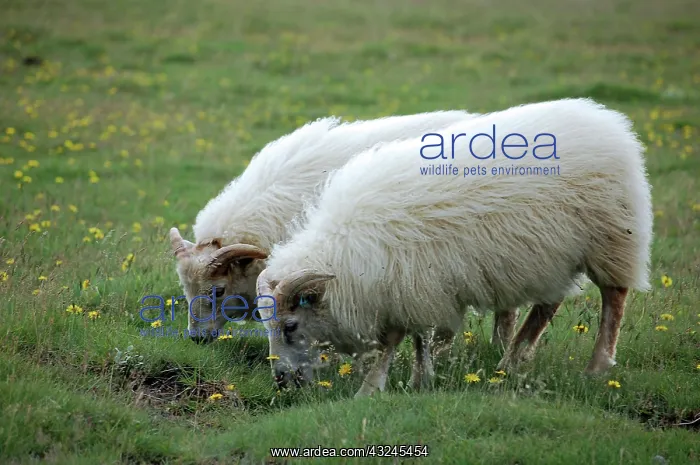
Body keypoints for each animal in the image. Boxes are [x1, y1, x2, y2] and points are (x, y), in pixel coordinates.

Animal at [255, 98, 653, 398]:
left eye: (290, 325)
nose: (281, 381)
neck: (344, 250)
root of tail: (608, 122)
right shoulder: (416, 286)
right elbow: (419, 337)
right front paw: (420, 378)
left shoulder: (407, 285)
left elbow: (397, 339)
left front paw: (373, 388)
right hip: (552, 255)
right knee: (548, 304)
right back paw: (510, 361)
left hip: (611, 238)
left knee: (613, 299)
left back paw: (596, 366)